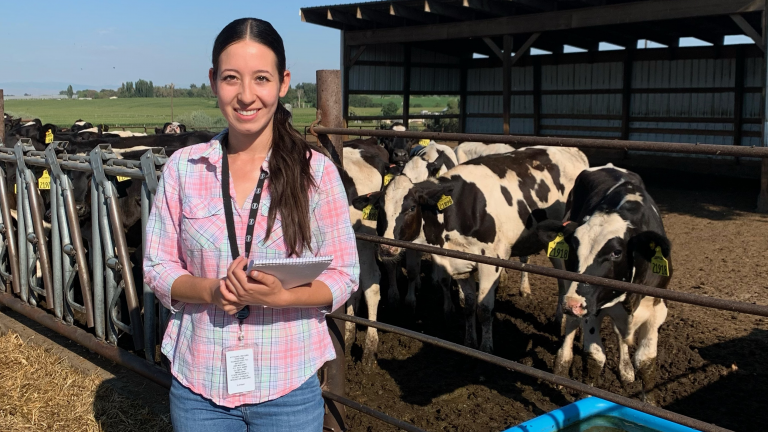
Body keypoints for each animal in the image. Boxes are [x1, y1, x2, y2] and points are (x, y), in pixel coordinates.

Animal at [354, 147, 588, 352]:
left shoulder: (491, 263)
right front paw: (469, 341)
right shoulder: (458, 263)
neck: (460, 209)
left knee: (563, 281)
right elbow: (468, 305)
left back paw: (560, 320)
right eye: (380, 208)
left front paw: (485, 348)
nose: (386, 248)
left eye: (411, 208)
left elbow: (484, 309)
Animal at [536, 164, 672, 400]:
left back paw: (625, 371)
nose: (572, 304)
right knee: (571, 324)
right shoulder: (591, 307)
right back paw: (562, 364)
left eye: (617, 252)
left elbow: (646, 362)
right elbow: (594, 357)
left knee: (619, 333)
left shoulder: (656, 309)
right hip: (569, 283)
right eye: (573, 246)